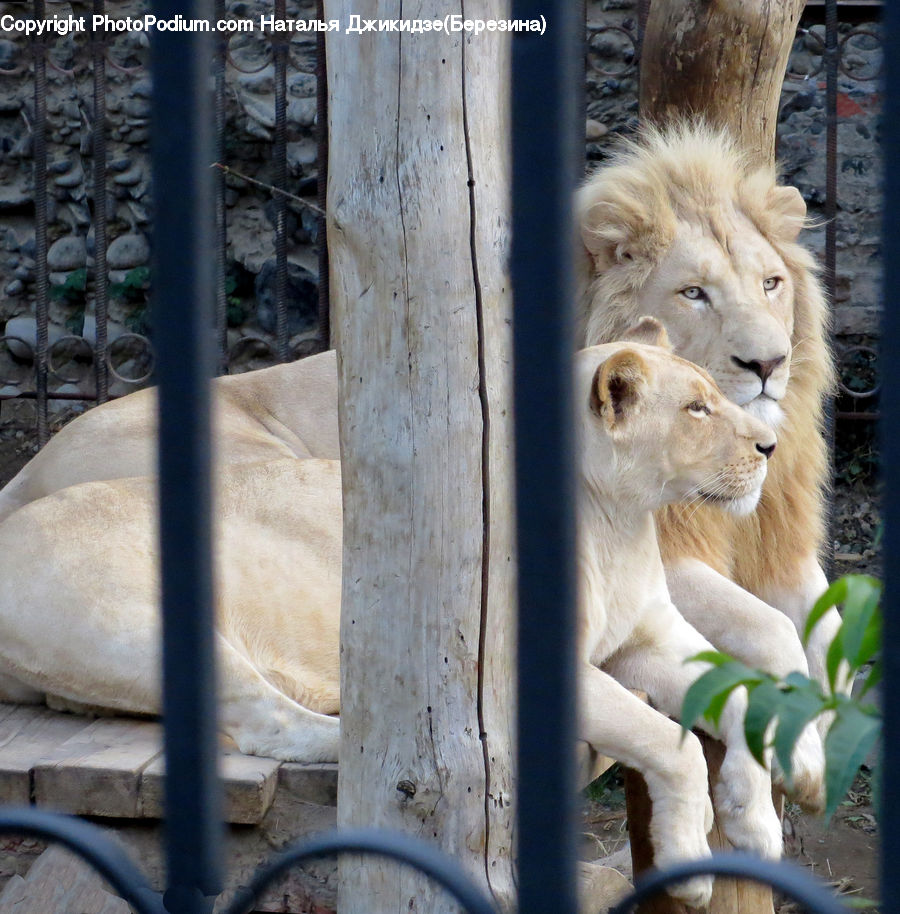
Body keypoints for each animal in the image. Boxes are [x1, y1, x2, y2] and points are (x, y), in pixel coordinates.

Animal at [0, 329, 823, 909]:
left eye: (714, 394)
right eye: (696, 408)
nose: (768, 446)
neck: (617, 522)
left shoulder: (651, 635)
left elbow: (742, 690)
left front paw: (761, 816)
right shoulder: (532, 664)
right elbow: (667, 741)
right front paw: (690, 864)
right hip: (147, 622)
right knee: (273, 724)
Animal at [575, 123, 839, 691]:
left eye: (771, 283)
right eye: (693, 293)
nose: (768, 363)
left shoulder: (777, 535)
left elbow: (829, 632)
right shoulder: (655, 557)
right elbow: (772, 629)